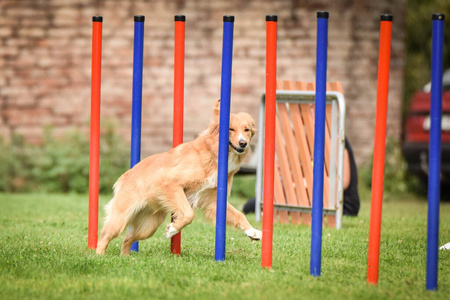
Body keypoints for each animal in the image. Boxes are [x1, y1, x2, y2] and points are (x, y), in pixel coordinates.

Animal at [96, 99, 262, 254]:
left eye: (246, 129)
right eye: (230, 129)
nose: (243, 143)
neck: (212, 154)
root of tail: (125, 176)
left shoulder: (213, 200)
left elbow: (239, 214)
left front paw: (252, 231)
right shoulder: (170, 183)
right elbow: (188, 214)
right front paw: (172, 229)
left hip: (148, 226)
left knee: (127, 239)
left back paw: (126, 257)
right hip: (121, 218)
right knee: (104, 237)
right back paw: (99, 256)